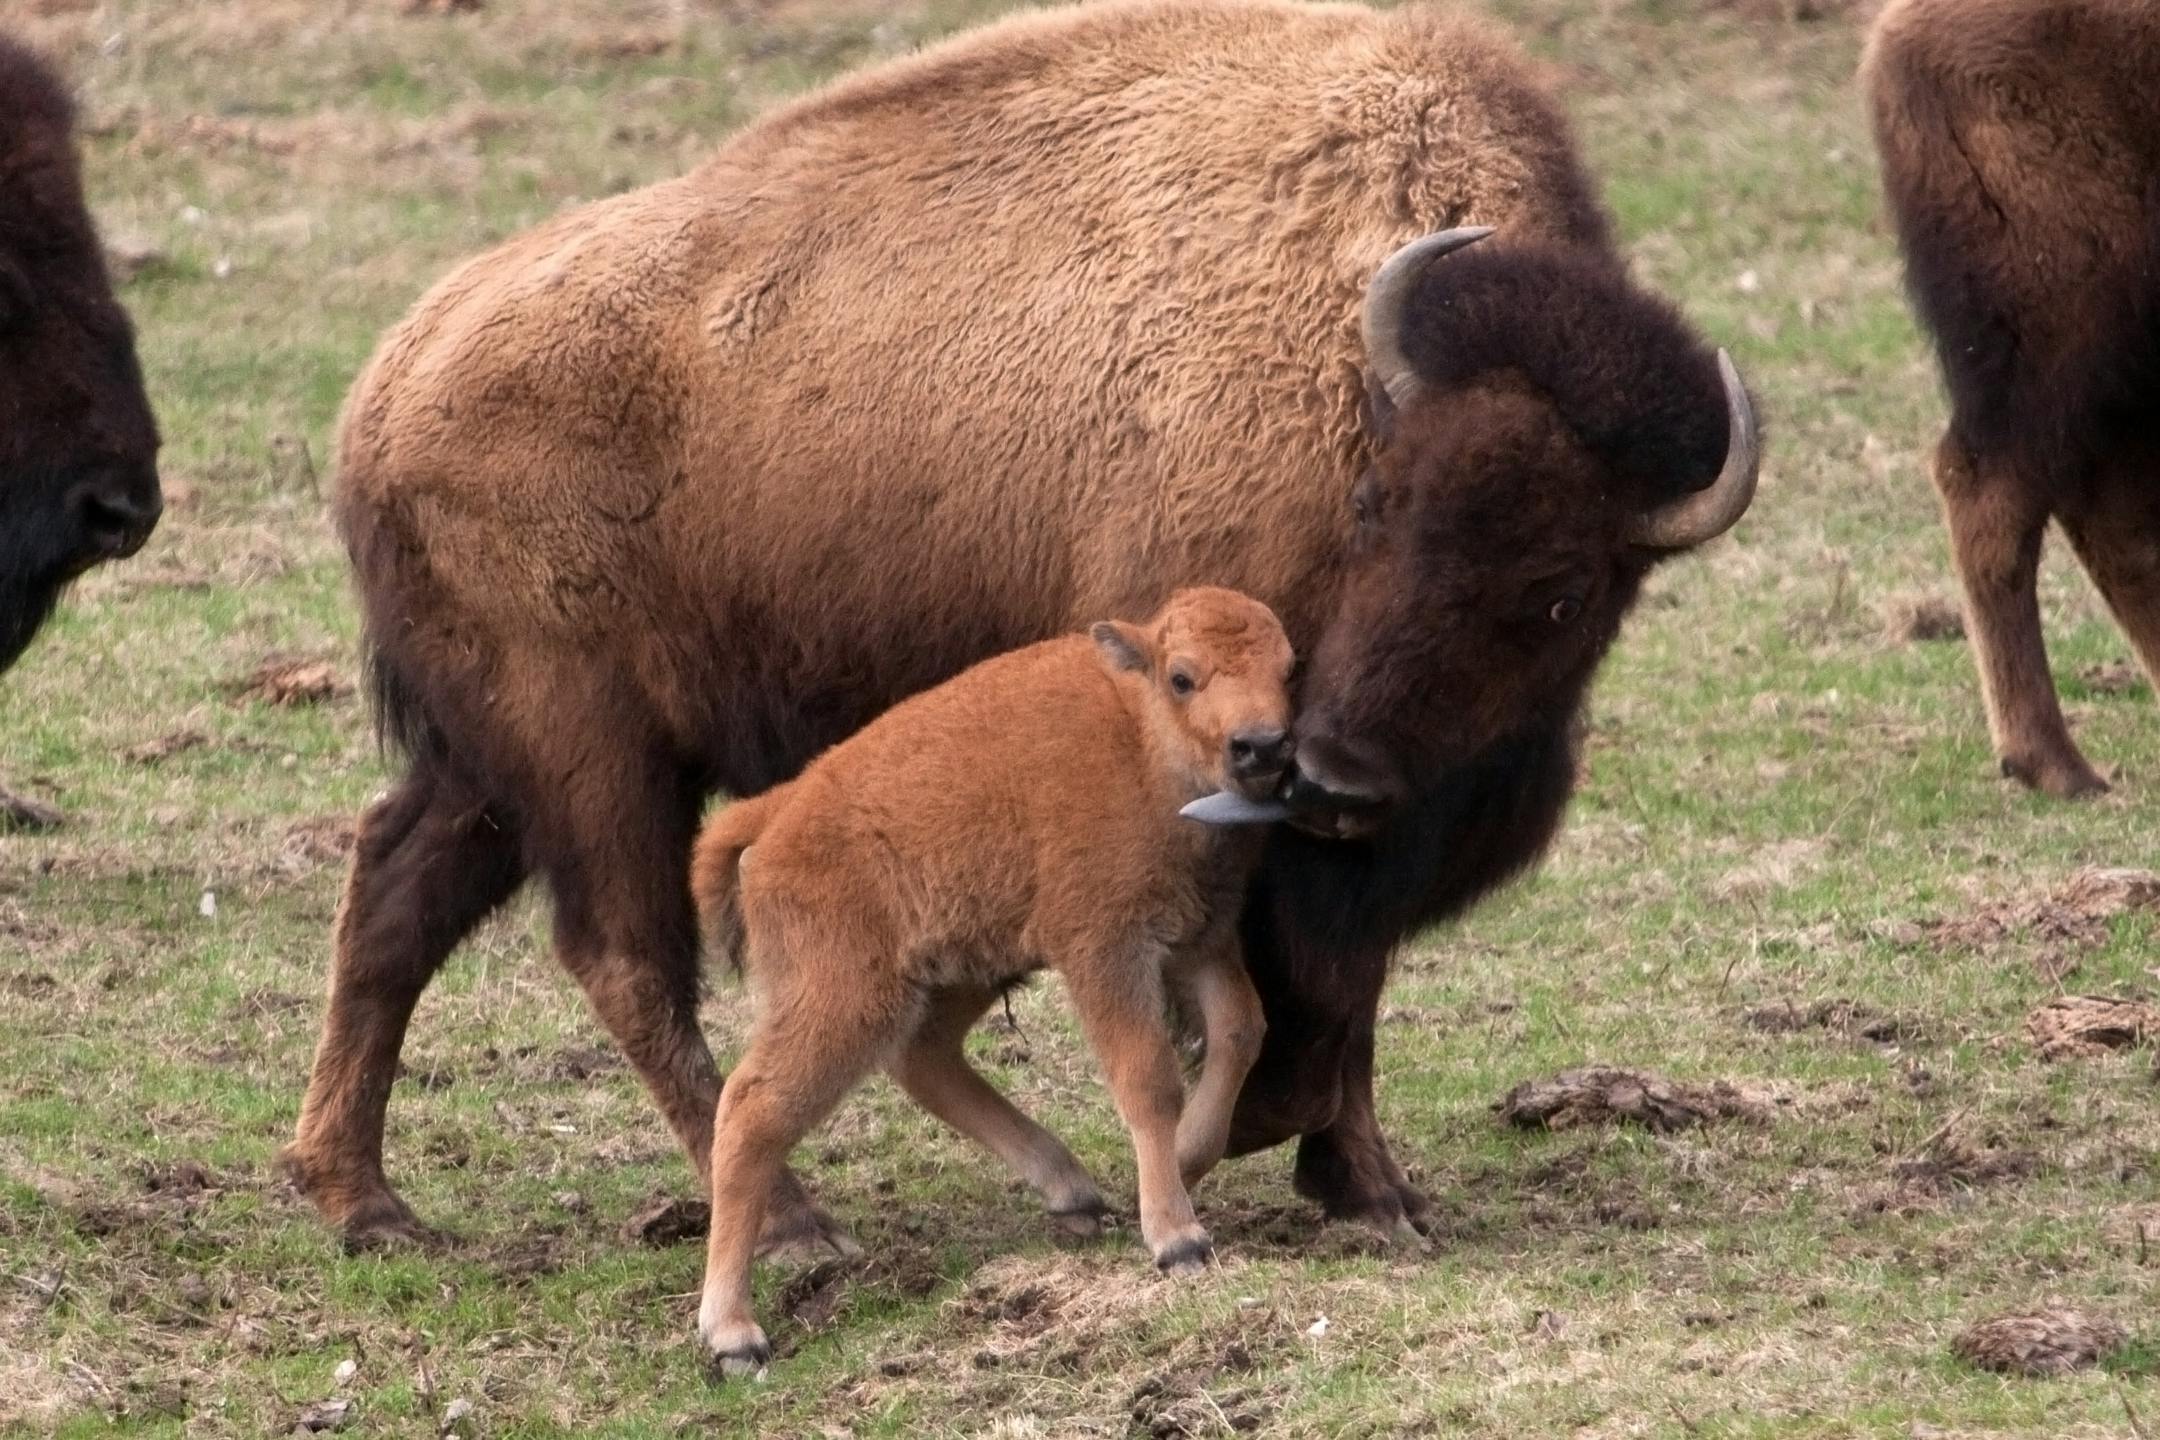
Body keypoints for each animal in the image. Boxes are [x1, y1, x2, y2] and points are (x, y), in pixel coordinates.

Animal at [283, 0, 1757, 1251]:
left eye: (1567, 588)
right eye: (1375, 504)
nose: (1338, 776)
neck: (1351, 363)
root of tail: (386, 392)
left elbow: (1348, 995)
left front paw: (1373, 1191)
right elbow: (1293, 994)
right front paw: (1280, 1159)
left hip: (494, 763)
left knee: (397, 894)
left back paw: (368, 1206)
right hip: (593, 753)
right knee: (624, 957)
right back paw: (794, 1225)